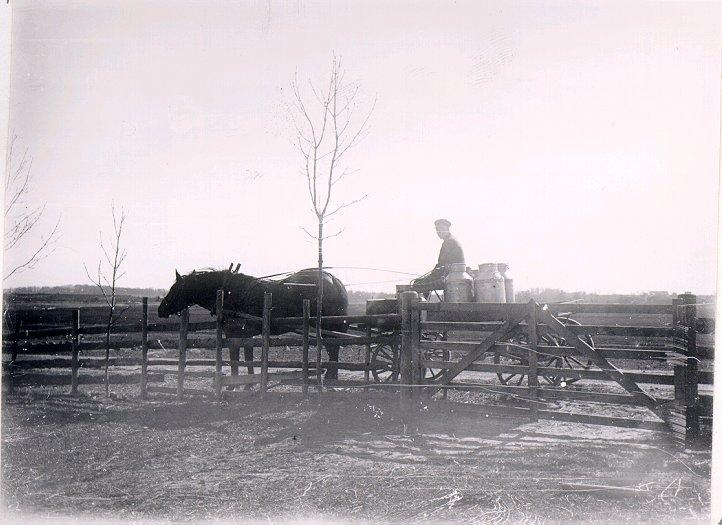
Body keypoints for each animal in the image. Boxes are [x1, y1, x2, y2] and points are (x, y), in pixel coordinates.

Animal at [158, 268, 348, 378]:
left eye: (175, 288)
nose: (161, 309)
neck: (227, 292)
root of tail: (334, 281)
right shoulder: (247, 335)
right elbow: (248, 359)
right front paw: (248, 384)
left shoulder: (233, 334)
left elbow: (235, 360)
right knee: (334, 349)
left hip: (328, 326)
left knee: (333, 349)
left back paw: (330, 379)